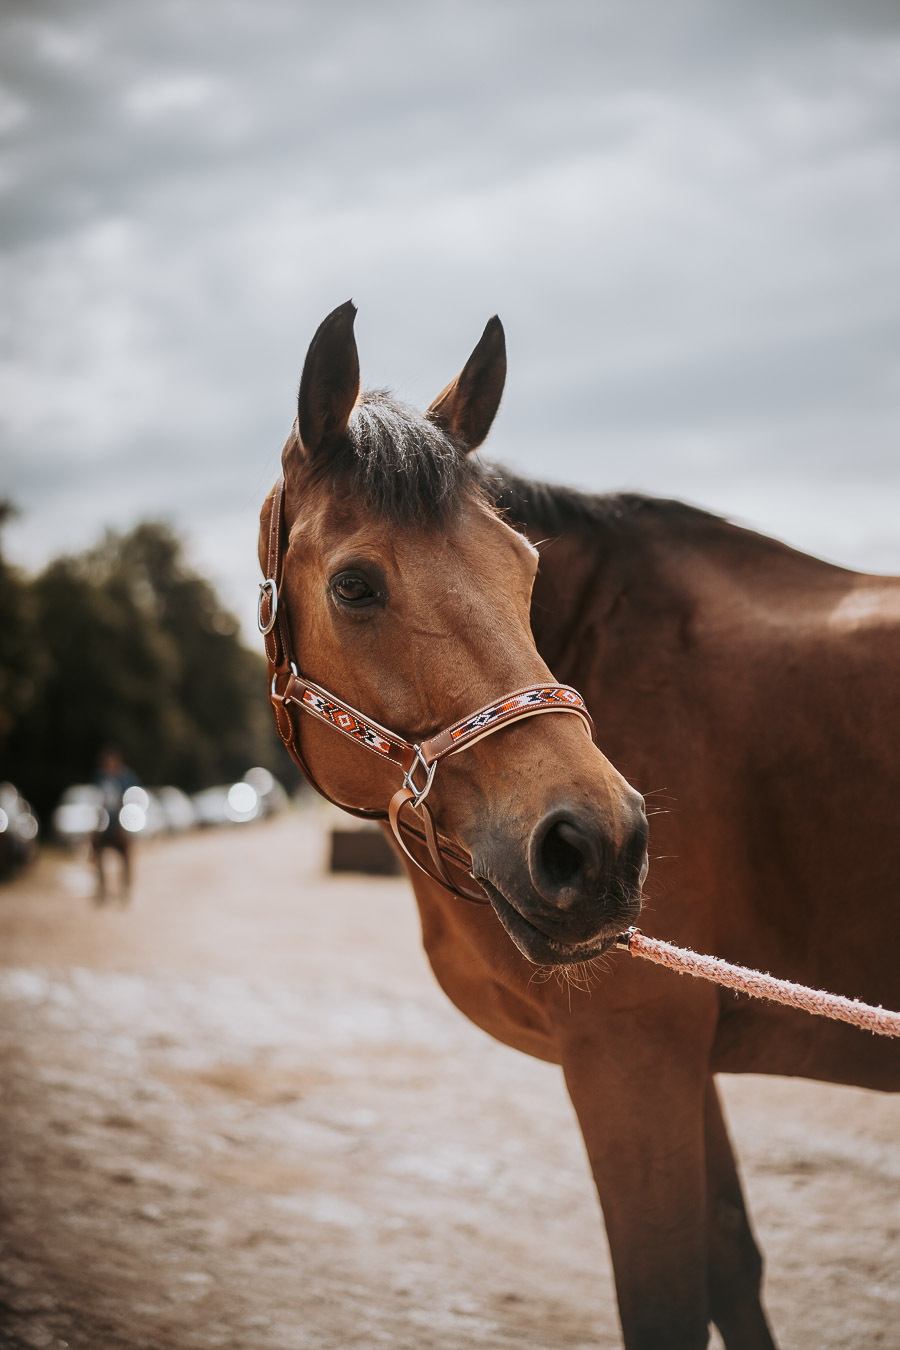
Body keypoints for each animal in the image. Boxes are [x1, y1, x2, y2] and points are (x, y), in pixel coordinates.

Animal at [258, 301, 900, 1350]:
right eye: (354, 586)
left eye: (525, 571)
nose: (597, 848)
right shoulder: (677, 1061)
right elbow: (732, 1269)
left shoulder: (633, 1057)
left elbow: (669, 1302)